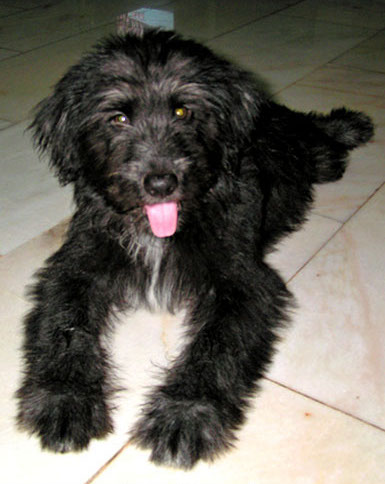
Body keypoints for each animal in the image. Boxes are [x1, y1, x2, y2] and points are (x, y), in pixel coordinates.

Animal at [17, 23, 372, 468]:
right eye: (118, 117)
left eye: (183, 111)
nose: (161, 182)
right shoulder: (75, 265)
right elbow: (63, 326)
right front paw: (64, 400)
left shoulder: (244, 281)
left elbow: (216, 345)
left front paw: (184, 415)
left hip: (309, 153)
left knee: (318, 136)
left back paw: (349, 124)